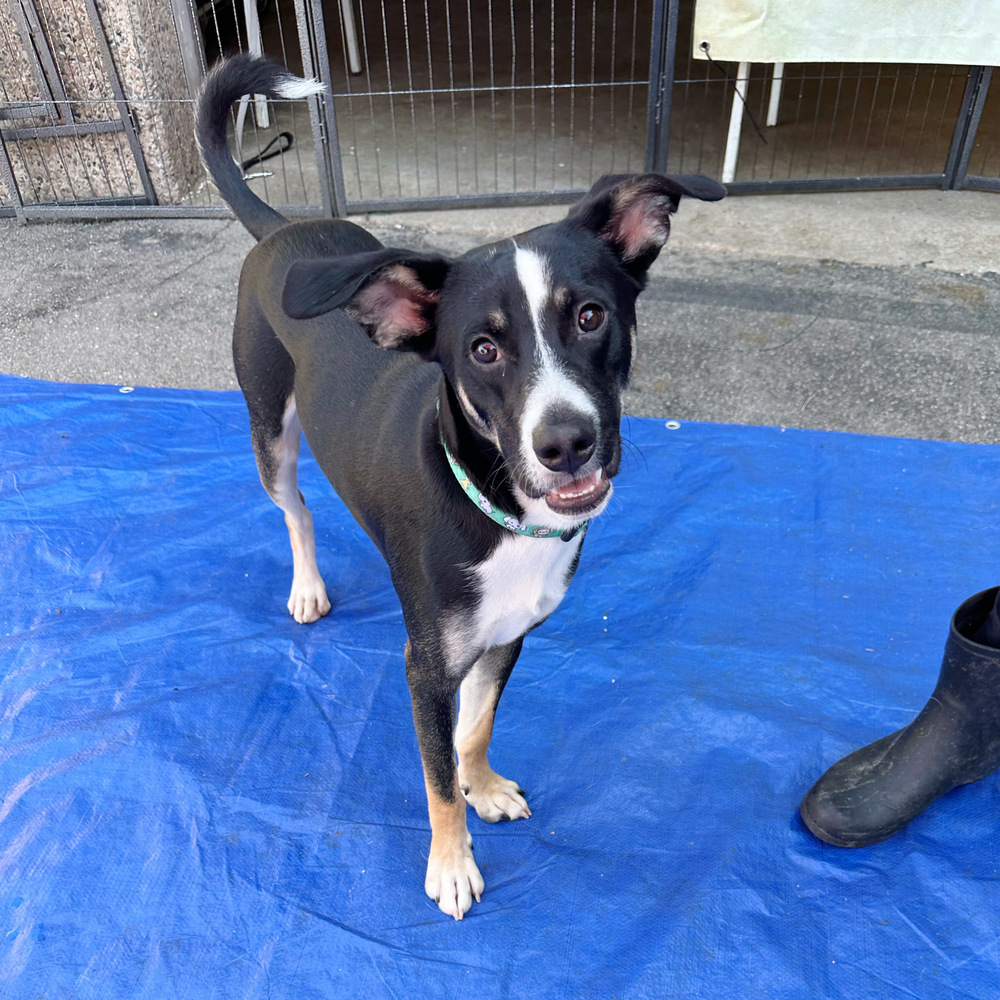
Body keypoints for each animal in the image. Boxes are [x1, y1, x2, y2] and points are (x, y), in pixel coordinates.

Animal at [197, 52, 728, 916]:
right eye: (482, 348)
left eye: (590, 316)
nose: (566, 444)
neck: (502, 511)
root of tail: (282, 229)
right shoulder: (424, 667)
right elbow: (434, 771)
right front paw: (451, 862)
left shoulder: (510, 635)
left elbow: (473, 730)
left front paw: (485, 787)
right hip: (268, 426)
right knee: (296, 508)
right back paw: (308, 586)